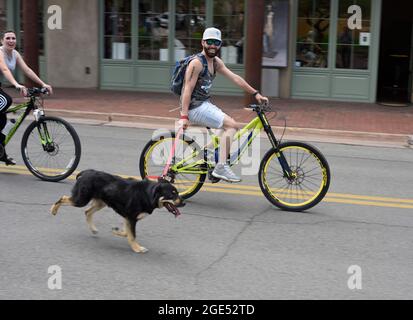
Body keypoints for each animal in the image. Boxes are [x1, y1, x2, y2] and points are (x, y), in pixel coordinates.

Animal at [50, 169, 182, 254]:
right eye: (172, 194)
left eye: (177, 193)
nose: (183, 202)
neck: (149, 194)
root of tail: (85, 172)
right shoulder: (131, 218)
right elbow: (132, 235)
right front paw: (137, 248)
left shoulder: (128, 217)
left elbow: (127, 233)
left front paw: (116, 231)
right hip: (81, 200)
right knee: (63, 198)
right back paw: (53, 210)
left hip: (101, 202)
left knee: (87, 212)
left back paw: (93, 229)